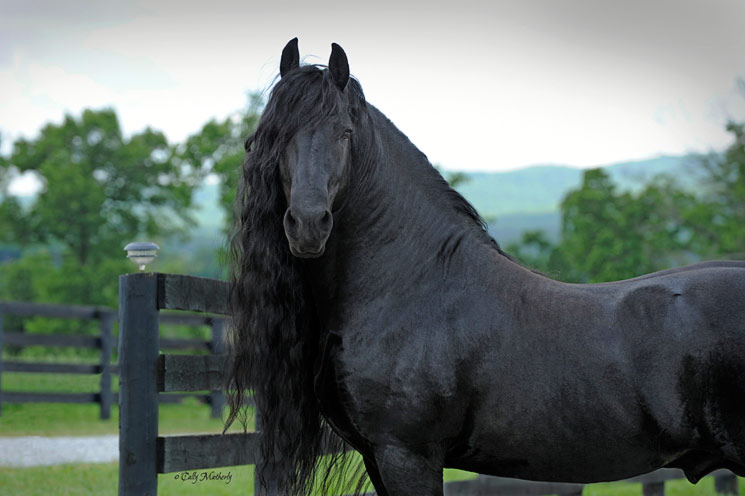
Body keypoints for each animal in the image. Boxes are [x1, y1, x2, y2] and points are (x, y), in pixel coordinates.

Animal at [225, 38, 744, 496]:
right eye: (273, 137)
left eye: (345, 133)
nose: (308, 225)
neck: (410, 288)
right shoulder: (378, 456)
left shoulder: (407, 454)